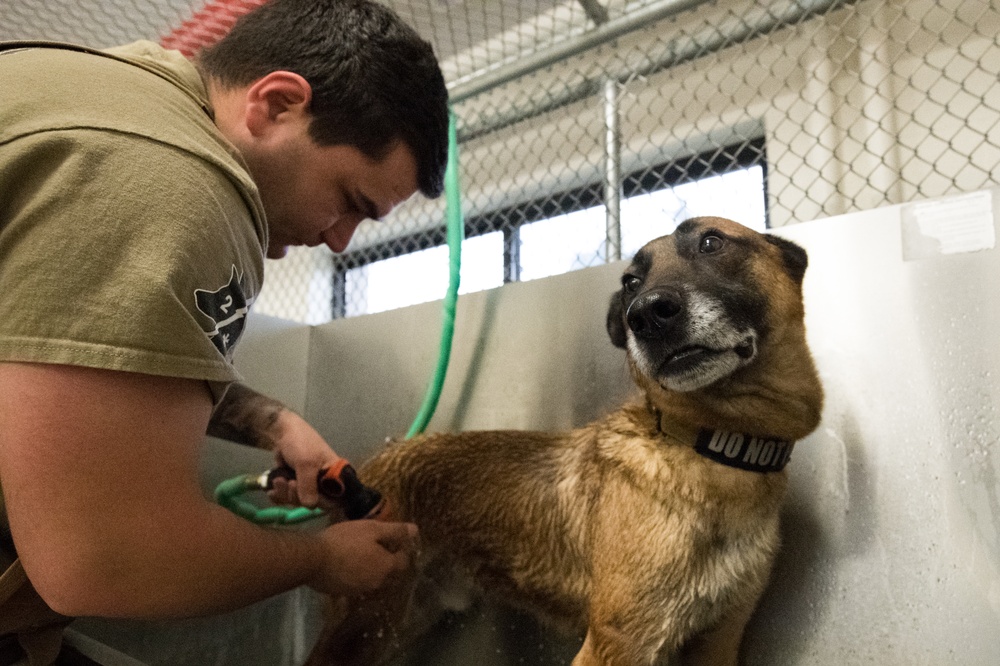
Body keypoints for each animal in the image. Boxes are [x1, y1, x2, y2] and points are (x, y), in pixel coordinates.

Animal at [308, 218, 824, 664]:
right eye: (630, 282)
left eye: (712, 243)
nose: (646, 316)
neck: (709, 445)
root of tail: (375, 459)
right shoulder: (618, 645)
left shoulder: (718, 641)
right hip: (364, 623)